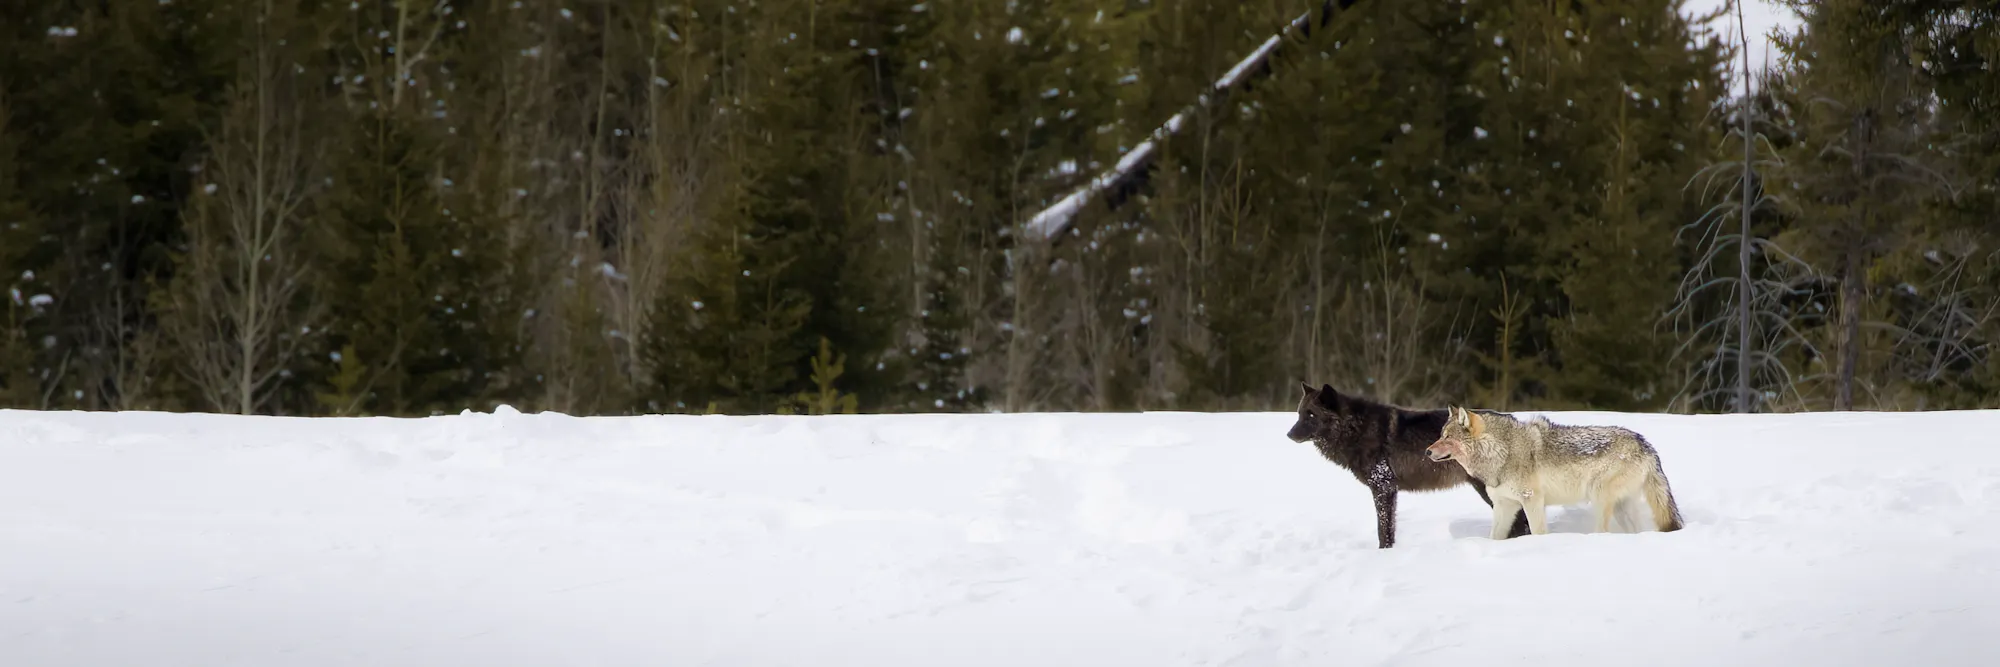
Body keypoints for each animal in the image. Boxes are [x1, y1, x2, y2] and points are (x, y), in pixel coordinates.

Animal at [1285, 383, 1530, 549]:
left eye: (1311, 415)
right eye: (1299, 414)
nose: (1288, 435)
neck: (1356, 428)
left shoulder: (1382, 487)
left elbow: (1382, 529)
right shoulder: (1388, 490)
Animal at [1424, 407, 1685, 539]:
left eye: (1446, 437)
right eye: (1440, 435)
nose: (1427, 451)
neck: (1502, 451)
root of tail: (1646, 445)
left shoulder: (1532, 501)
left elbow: (1538, 532)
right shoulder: (1504, 505)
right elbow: (1494, 537)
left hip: (1599, 497)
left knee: (1603, 531)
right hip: (1622, 507)